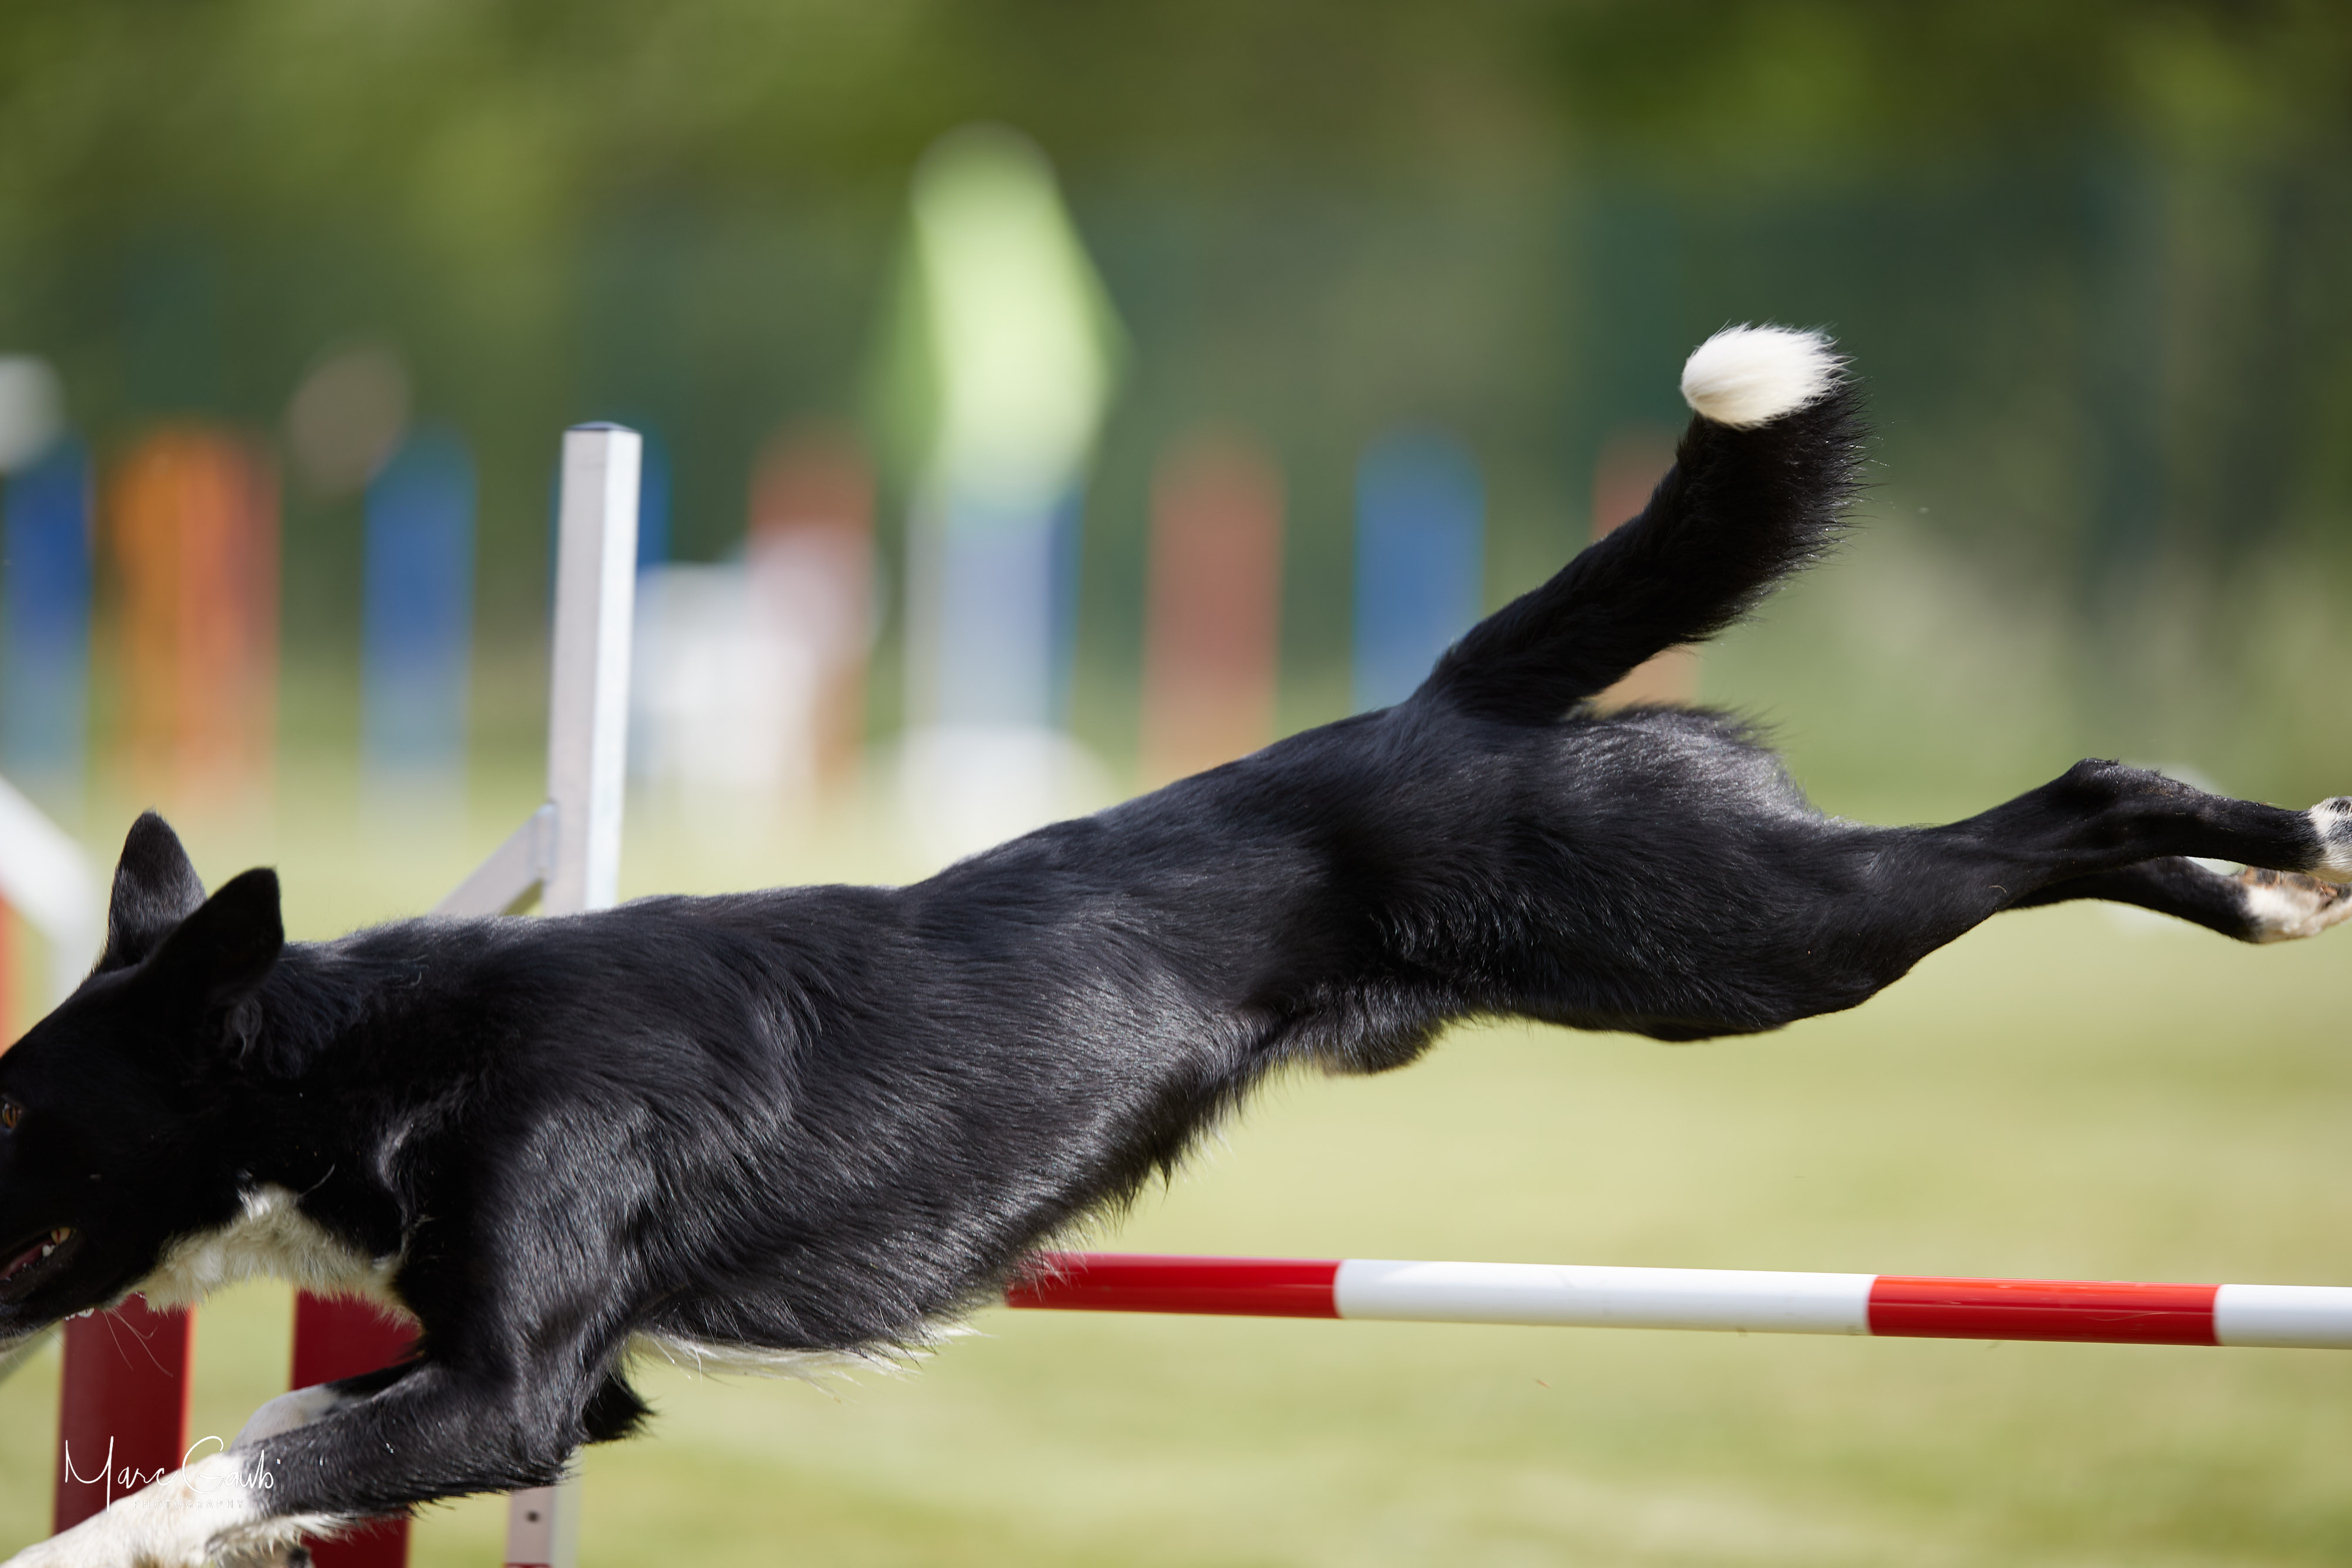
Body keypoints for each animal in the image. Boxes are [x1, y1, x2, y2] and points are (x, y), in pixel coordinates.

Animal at [6, 325, 2352, 1567]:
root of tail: (1457, 696)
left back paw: (2286, 858)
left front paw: (80, 1539)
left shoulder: (507, 1393)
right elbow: (267, 1444)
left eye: (19, 1125)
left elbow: (213, 1453)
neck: (380, 1052)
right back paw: (2284, 871)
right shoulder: (558, 1399)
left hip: (1735, 939)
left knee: (2064, 805)